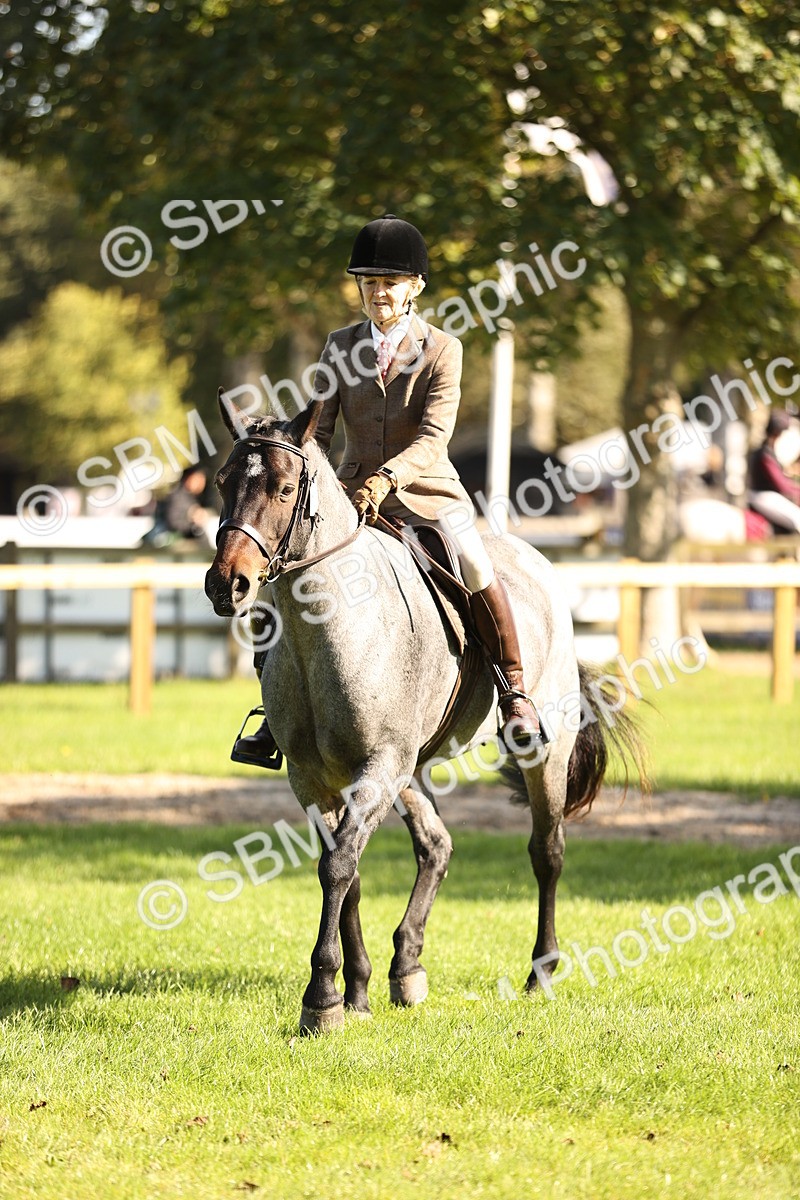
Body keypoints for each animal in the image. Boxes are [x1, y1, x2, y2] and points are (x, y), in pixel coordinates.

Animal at [204, 393, 647, 1033]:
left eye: (285, 489)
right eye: (223, 482)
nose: (226, 585)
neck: (328, 633)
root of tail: (534, 559)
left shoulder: (379, 768)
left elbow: (339, 867)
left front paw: (322, 999)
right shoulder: (315, 778)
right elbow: (345, 869)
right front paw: (355, 992)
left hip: (540, 754)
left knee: (547, 852)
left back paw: (540, 972)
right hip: (412, 771)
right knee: (436, 845)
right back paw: (406, 967)